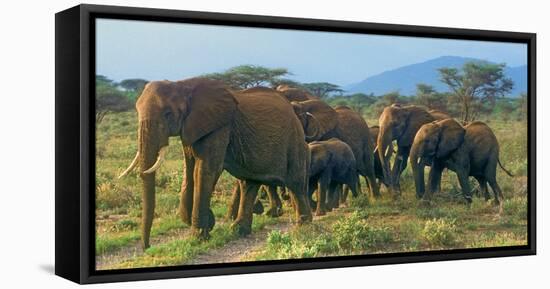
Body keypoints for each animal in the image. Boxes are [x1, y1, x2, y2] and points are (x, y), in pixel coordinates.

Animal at [118, 78, 312, 248]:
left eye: (168, 114)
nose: (147, 247)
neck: (182, 85)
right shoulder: (191, 128)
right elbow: (189, 170)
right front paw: (207, 223)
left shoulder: (219, 127)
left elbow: (206, 170)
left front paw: (198, 236)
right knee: (248, 183)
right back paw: (238, 230)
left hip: (295, 140)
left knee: (295, 182)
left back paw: (303, 226)